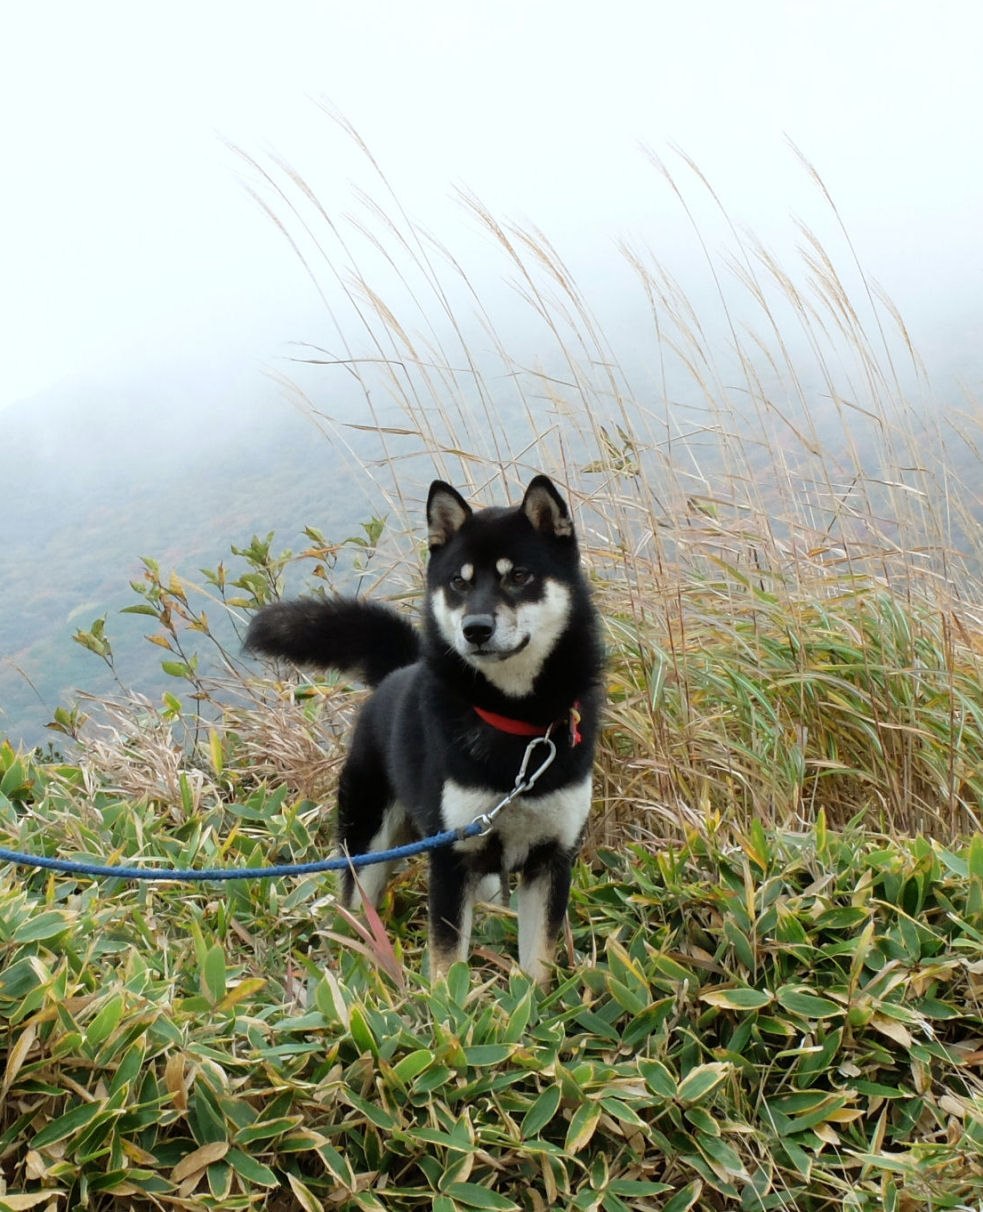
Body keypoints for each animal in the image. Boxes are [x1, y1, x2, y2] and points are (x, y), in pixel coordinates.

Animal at [244, 475, 604, 987]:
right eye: (459, 582)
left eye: (519, 576)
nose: (475, 629)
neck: (517, 721)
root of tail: (399, 671)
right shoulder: (451, 861)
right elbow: (447, 962)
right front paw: (447, 1005)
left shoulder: (550, 860)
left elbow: (537, 966)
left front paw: (533, 1004)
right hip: (367, 846)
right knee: (355, 913)